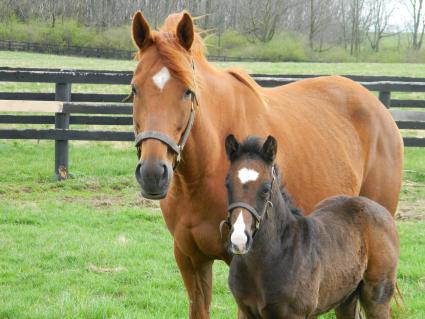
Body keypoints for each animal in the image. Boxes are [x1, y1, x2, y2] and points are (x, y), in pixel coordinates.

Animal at [224, 136, 400, 319]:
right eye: (227, 184)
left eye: (265, 189)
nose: (239, 240)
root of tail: (381, 210)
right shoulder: (246, 311)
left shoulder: (294, 314)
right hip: (346, 295)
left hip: (377, 295)